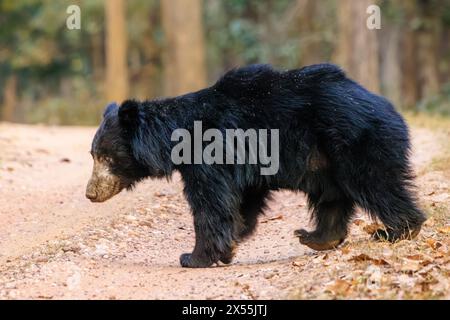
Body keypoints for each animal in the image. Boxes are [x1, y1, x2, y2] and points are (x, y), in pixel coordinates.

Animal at [85, 63, 426, 268]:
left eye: (106, 157)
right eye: (93, 155)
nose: (91, 193)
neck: (175, 138)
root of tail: (390, 109)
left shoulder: (209, 157)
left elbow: (211, 205)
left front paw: (193, 257)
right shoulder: (243, 169)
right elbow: (242, 202)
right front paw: (230, 245)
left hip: (354, 143)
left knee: (377, 184)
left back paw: (397, 230)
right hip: (324, 161)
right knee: (333, 198)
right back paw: (316, 237)